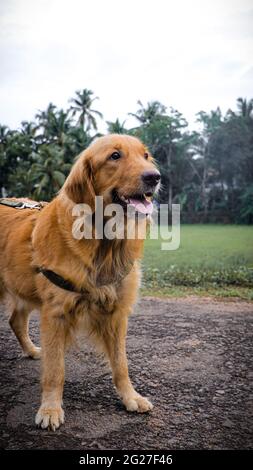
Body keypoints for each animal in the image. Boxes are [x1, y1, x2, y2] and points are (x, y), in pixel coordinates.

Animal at [0, 135, 160, 430]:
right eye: (115, 156)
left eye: (145, 156)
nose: (154, 177)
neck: (104, 243)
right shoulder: (56, 313)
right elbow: (56, 370)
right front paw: (51, 409)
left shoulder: (116, 313)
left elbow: (121, 364)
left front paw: (130, 397)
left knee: (15, 320)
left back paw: (31, 350)